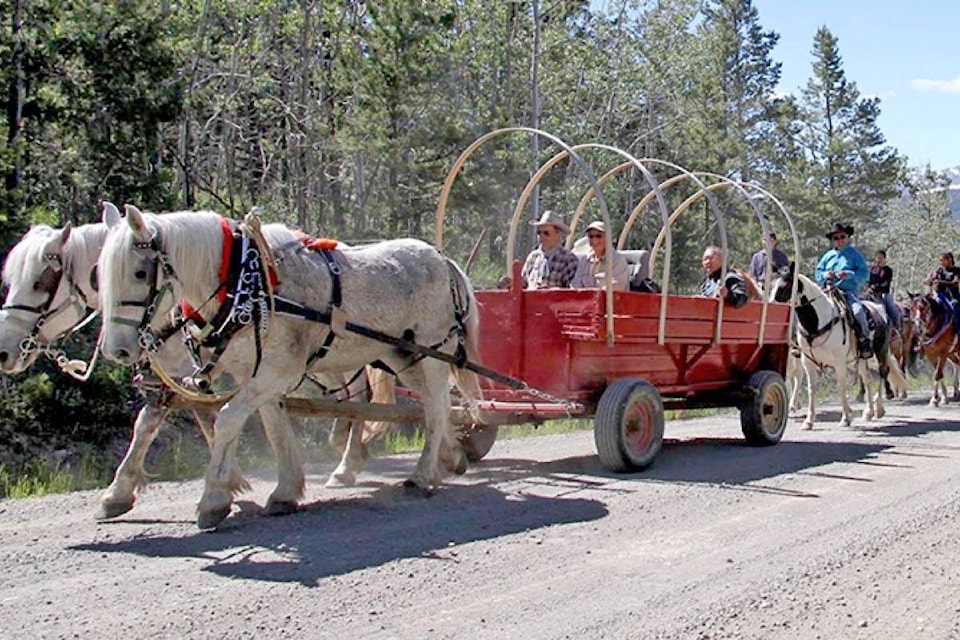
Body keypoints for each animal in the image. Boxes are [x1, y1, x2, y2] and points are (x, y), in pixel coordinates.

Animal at [99, 206, 480, 528]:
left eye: (139, 273)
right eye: (101, 277)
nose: (116, 350)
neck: (244, 282)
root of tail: (444, 260)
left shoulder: (274, 371)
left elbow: (227, 420)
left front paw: (213, 499)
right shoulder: (254, 373)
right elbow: (274, 426)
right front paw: (285, 491)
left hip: (432, 354)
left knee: (436, 407)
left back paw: (422, 474)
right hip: (401, 356)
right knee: (425, 405)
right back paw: (445, 458)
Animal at [764, 264, 908, 430]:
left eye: (785, 286)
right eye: (770, 286)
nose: (770, 310)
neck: (817, 322)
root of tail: (878, 308)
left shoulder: (839, 362)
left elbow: (841, 387)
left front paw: (845, 418)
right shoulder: (808, 361)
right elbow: (811, 388)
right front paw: (809, 421)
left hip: (881, 350)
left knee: (883, 372)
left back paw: (878, 409)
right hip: (861, 357)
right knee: (867, 378)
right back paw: (868, 412)